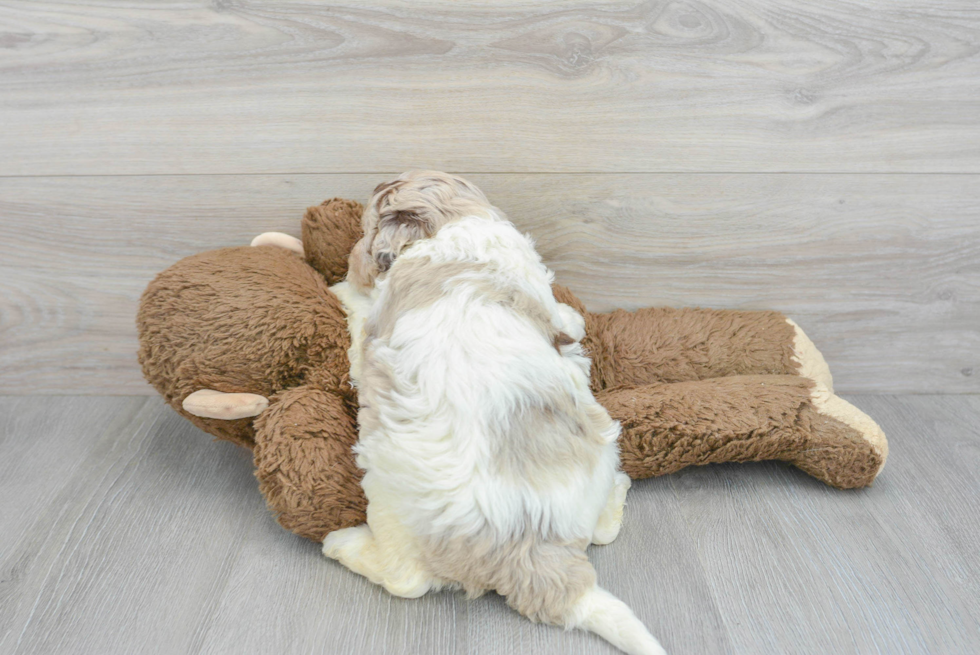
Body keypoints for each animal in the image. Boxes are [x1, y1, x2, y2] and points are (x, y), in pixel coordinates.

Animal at [328, 172, 668, 652]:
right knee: (602, 528)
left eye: (366, 227)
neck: (452, 225)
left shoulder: (372, 325)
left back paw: (341, 542)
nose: (354, 257)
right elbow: (566, 319)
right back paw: (619, 492)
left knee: (405, 579)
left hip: (387, 497)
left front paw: (341, 286)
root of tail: (525, 548)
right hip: (601, 447)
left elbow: (359, 315)